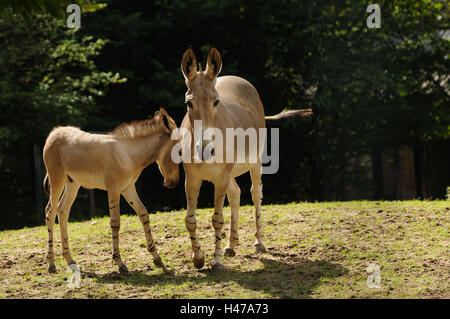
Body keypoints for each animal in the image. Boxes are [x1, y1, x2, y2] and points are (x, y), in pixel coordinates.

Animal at [42, 109, 178, 274]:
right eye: (179, 151)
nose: (172, 183)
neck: (128, 155)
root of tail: (54, 133)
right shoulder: (114, 189)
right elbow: (115, 223)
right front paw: (119, 263)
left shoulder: (128, 188)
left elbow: (143, 214)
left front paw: (157, 258)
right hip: (57, 179)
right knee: (50, 211)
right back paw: (51, 264)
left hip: (73, 183)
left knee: (62, 210)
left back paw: (70, 260)